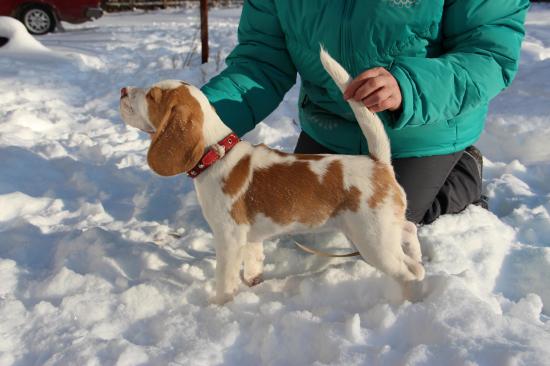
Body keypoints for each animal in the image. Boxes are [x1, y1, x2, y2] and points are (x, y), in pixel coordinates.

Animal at [118, 50, 424, 304]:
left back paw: (404, 300)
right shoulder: (251, 238)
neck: (215, 153)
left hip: (374, 241)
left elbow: (225, 280)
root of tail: (378, 162)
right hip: (378, 230)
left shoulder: (228, 238)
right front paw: (254, 283)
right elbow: (253, 262)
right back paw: (418, 256)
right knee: (409, 232)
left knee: (409, 272)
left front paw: (218, 307)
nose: (122, 89)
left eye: (151, 96)